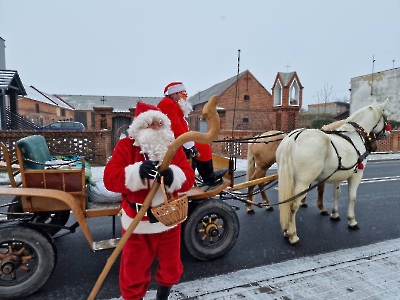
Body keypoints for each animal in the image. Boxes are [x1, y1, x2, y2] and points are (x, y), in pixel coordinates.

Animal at [276, 99, 390, 245]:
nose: (387, 133)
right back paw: (293, 235)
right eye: (385, 116)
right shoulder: (356, 175)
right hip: (303, 183)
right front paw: (352, 221)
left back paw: (287, 231)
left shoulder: (338, 176)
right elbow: (352, 197)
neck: (354, 135)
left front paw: (335, 214)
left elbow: (337, 194)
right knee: (293, 205)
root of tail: (294, 137)